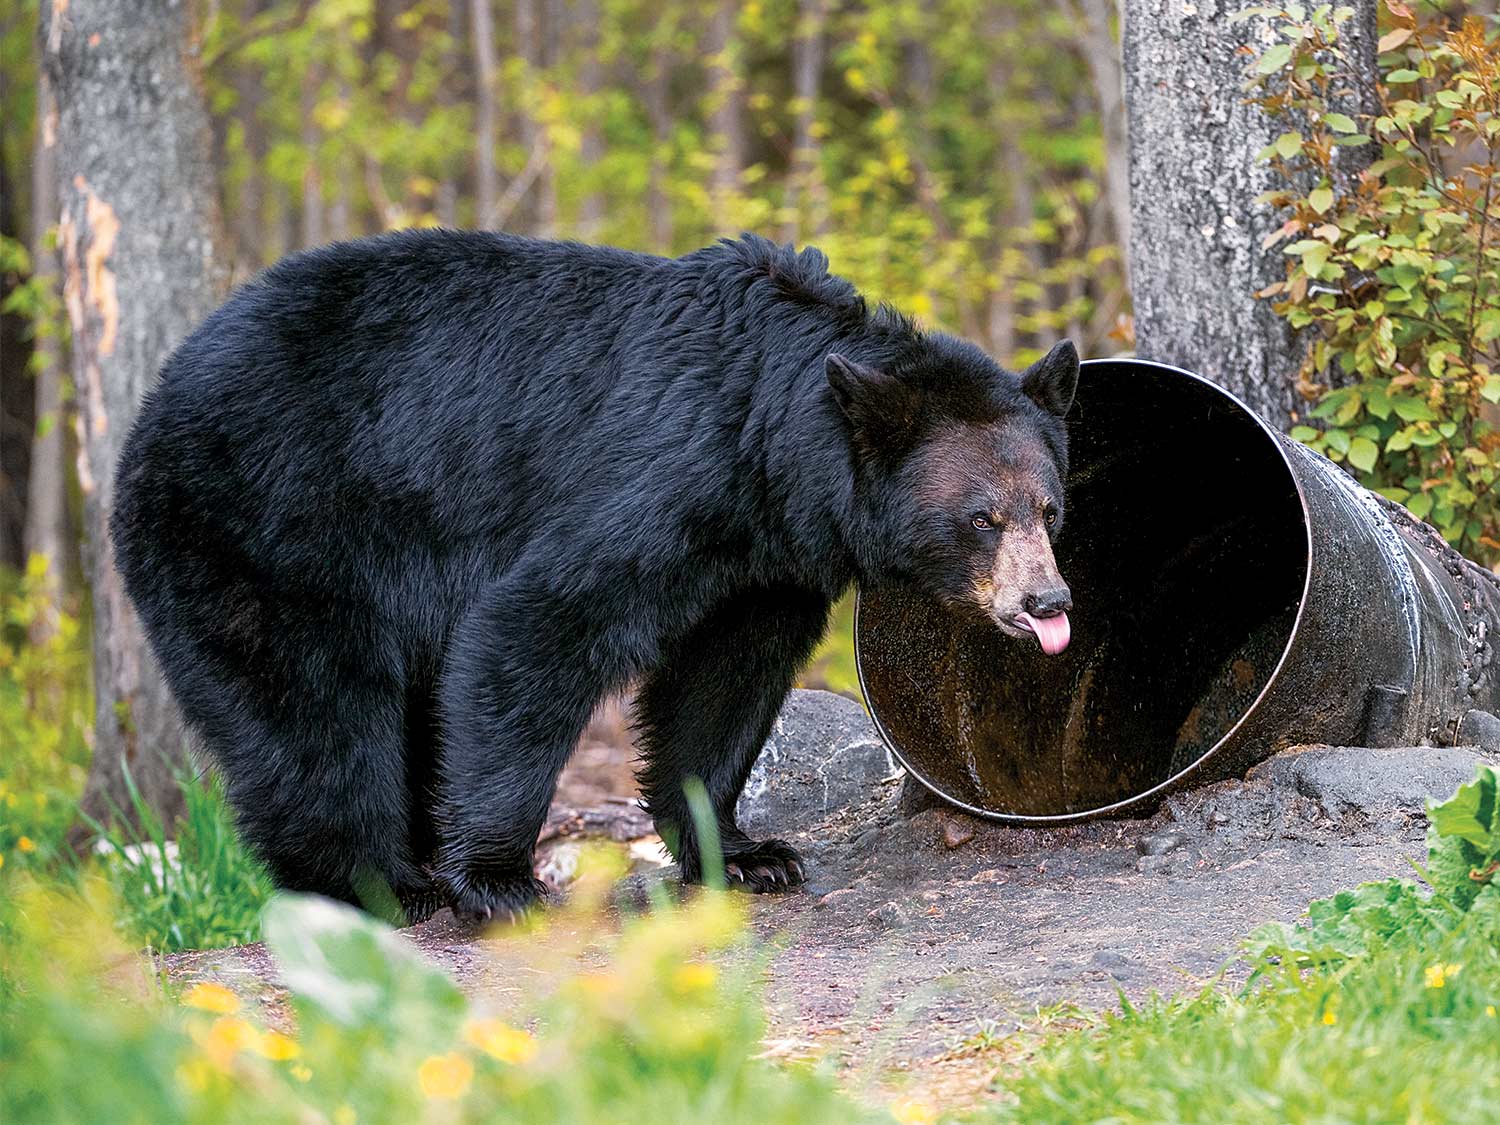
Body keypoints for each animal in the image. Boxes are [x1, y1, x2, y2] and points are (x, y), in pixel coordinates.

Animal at [110, 230, 1077, 924]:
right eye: (982, 518)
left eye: (1050, 508)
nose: (1049, 601)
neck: (767, 438)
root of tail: (151, 408)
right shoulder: (656, 479)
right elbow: (534, 629)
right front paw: (499, 879)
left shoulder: (762, 562)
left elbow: (724, 678)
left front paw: (747, 851)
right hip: (276, 528)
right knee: (317, 714)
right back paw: (380, 883)